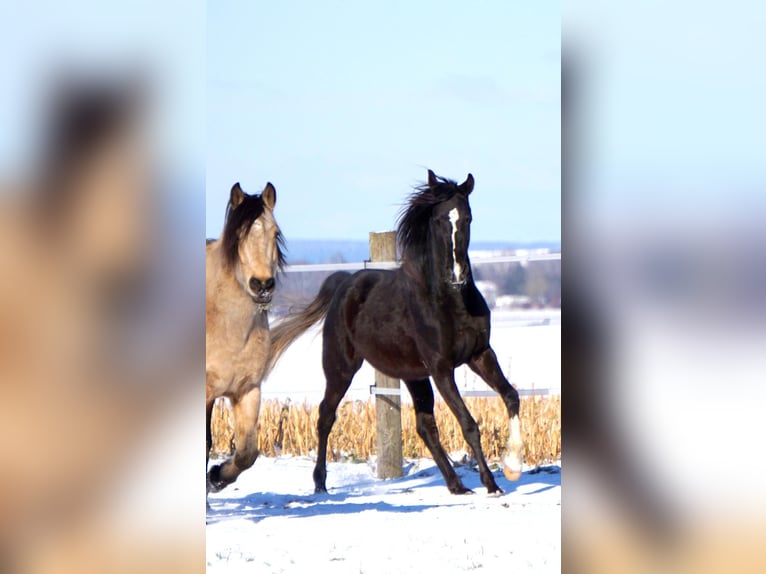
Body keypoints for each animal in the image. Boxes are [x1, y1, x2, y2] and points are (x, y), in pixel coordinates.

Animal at [268, 170, 524, 496]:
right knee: (326, 415)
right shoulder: (442, 369)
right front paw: (492, 485)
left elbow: (511, 396)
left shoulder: (479, 354)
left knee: (424, 426)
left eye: (467, 218)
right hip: (340, 367)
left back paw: (456, 486)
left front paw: (513, 467)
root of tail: (344, 283)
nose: (457, 275)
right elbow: (469, 424)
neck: (450, 302)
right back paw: (320, 483)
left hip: (413, 375)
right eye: (438, 220)